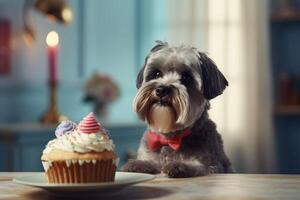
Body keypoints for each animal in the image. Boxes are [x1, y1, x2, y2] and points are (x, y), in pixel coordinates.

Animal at [123, 41, 233, 178]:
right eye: (157, 73)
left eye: (186, 77)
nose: (161, 89)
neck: (169, 138)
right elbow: (150, 162)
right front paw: (138, 165)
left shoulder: (212, 165)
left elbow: (198, 167)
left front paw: (179, 166)